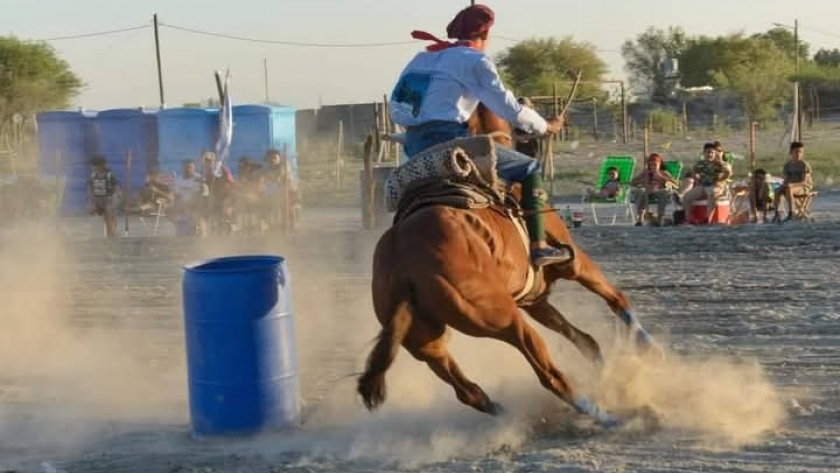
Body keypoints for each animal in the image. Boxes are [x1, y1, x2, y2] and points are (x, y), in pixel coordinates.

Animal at [354, 103, 656, 424]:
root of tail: (402, 263)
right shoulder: (574, 263)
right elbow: (615, 298)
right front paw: (650, 348)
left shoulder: (534, 299)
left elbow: (583, 338)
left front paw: (603, 367)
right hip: (501, 318)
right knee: (550, 376)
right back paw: (612, 417)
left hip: (426, 342)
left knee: (468, 391)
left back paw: (507, 412)